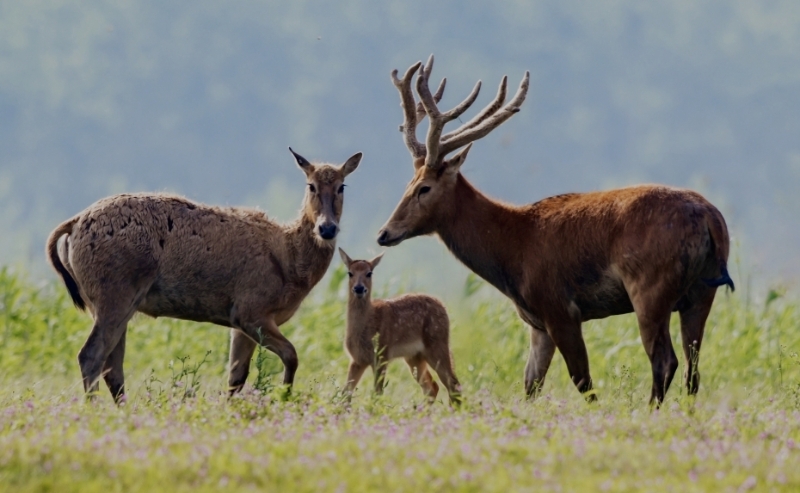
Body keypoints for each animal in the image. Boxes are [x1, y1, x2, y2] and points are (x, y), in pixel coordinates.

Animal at [45, 148, 364, 402]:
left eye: (342, 186)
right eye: (310, 185)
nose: (327, 228)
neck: (290, 263)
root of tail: (73, 224)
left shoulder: (240, 320)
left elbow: (236, 377)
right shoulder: (251, 309)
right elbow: (291, 356)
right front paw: (284, 400)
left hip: (115, 303)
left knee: (112, 368)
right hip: (115, 294)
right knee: (91, 356)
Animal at [340, 248, 462, 406]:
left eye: (369, 273)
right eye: (350, 273)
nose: (359, 288)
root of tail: (443, 307)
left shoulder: (381, 356)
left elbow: (377, 394)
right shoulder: (357, 359)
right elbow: (345, 394)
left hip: (437, 345)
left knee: (453, 384)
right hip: (414, 356)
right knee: (432, 387)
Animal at [378, 55, 736, 406]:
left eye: (423, 188)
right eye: (408, 183)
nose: (384, 233)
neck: (513, 253)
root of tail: (711, 219)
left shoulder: (559, 307)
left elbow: (582, 381)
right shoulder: (537, 324)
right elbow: (530, 385)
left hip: (650, 287)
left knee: (664, 361)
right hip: (700, 293)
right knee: (693, 367)